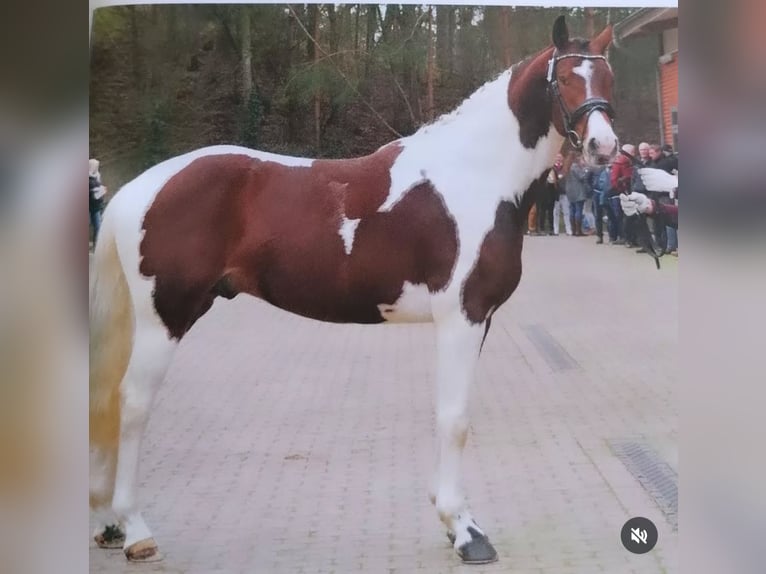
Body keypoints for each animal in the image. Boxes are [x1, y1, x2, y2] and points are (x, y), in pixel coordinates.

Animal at [90, 16, 618, 565]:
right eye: (567, 79)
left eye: (608, 78)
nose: (603, 147)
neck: (476, 175)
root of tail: (137, 189)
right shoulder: (462, 316)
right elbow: (454, 419)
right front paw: (466, 530)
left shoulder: (478, 318)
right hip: (165, 317)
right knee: (132, 404)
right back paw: (135, 528)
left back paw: (109, 524)